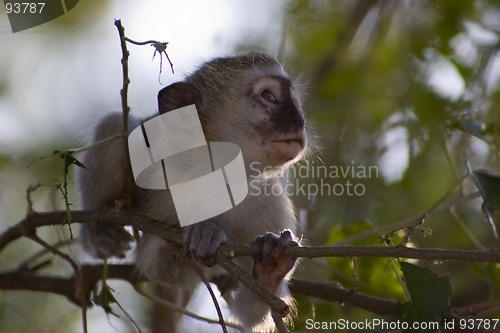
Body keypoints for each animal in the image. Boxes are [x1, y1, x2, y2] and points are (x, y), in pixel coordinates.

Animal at [77, 53, 308, 330]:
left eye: (295, 103)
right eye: (270, 97)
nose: (300, 121)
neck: (223, 174)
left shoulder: (270, 202)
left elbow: (255, 313)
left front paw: (270, 270)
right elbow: (152, 260)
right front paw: (205, 234)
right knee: (115, 126)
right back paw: (96, 230)